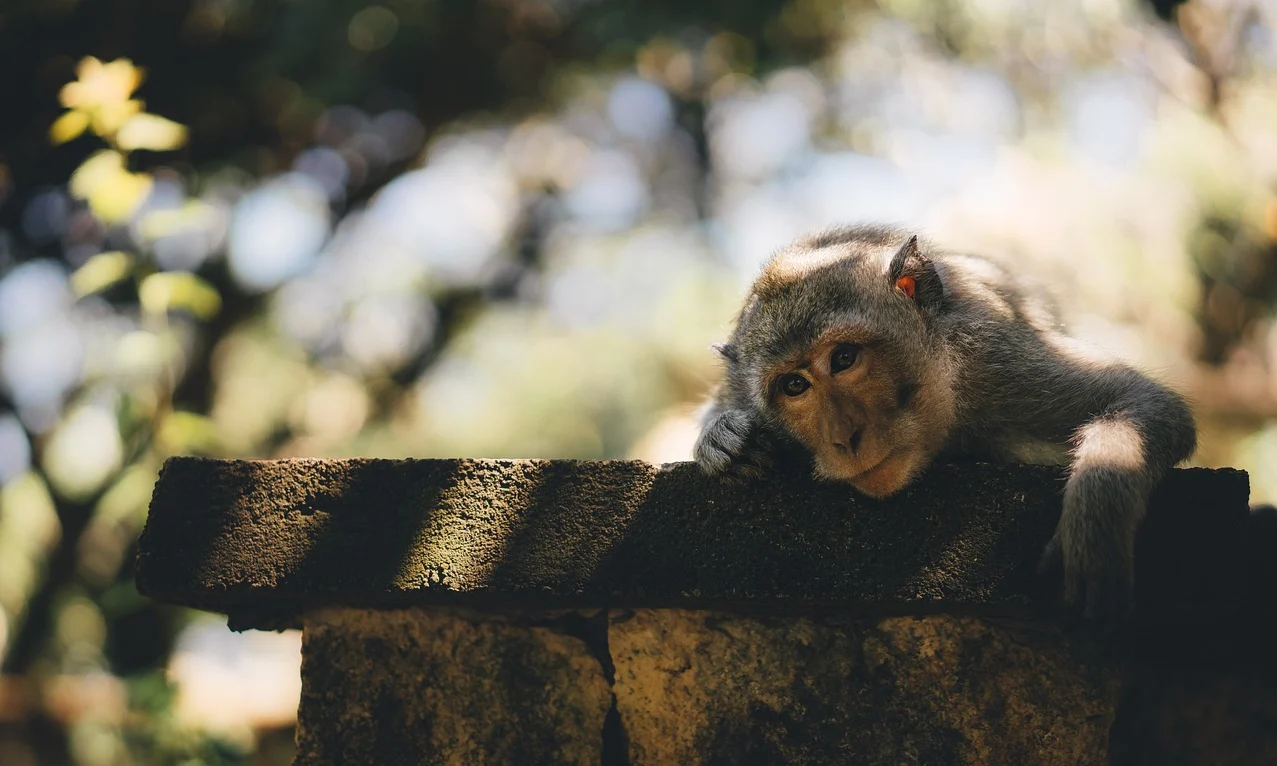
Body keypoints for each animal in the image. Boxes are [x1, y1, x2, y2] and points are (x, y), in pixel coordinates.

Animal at [694, 224, 1190, 620]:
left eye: (844, 358)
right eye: (794, 386)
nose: (844, 438)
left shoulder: (992, 359)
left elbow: (1144, 400)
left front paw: (1095, 523)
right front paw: (724, 442)